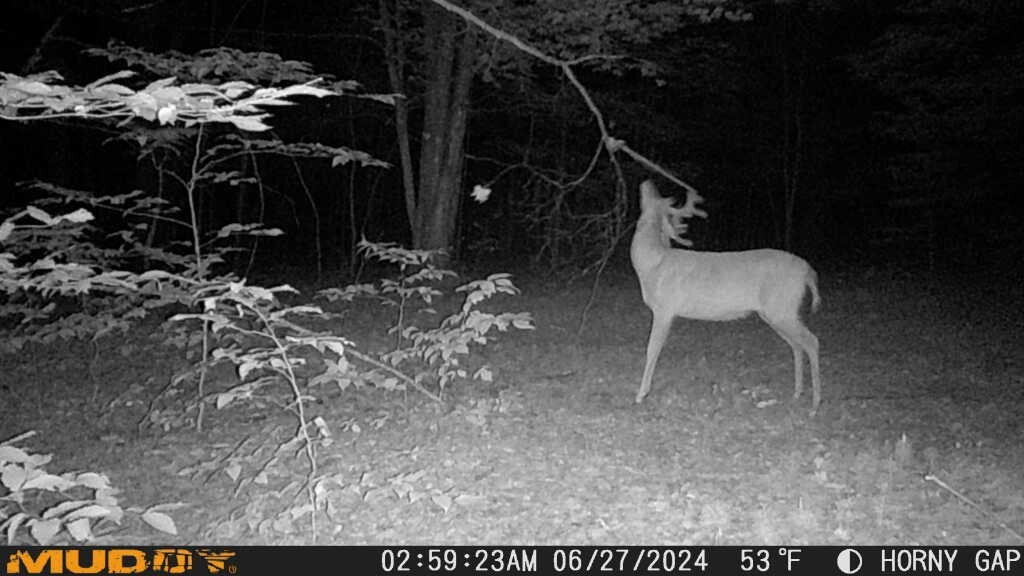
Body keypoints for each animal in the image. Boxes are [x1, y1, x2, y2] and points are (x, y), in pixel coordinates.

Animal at [630, 179, 822, 413]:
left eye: (658, 199)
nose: (648, 183)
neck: (652, 265)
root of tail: (808, 272)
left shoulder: (665, 308)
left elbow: (652, 349)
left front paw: (641, 394)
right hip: (777, 312)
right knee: (797, 344)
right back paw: (797, 393)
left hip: (782, 308)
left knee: (812, 341)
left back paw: (815, 404)